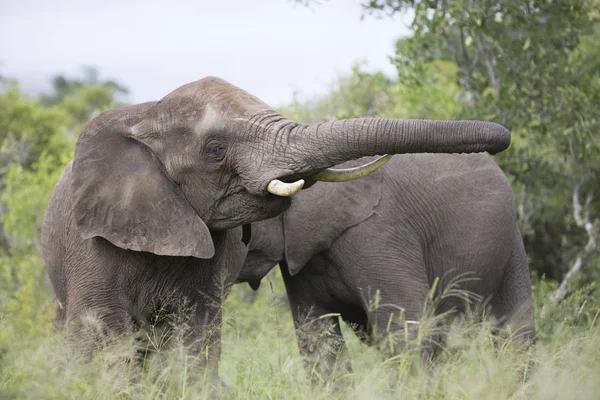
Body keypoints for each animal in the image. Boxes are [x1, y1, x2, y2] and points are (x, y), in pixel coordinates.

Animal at [234, 152, 536, 378]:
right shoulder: (301, 259)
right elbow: (319, 342)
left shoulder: (377, 237)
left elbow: (406, 332)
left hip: (510, 243)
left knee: (515, 333)